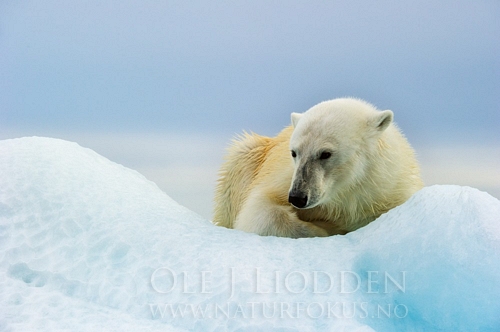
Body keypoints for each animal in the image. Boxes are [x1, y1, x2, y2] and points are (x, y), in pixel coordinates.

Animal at [213, 97, 424, 237]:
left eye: (325, 153)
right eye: (294, 152)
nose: (297, 197)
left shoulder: (391, 189)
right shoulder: (283, 177)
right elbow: (259, 211)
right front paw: (327, 227)